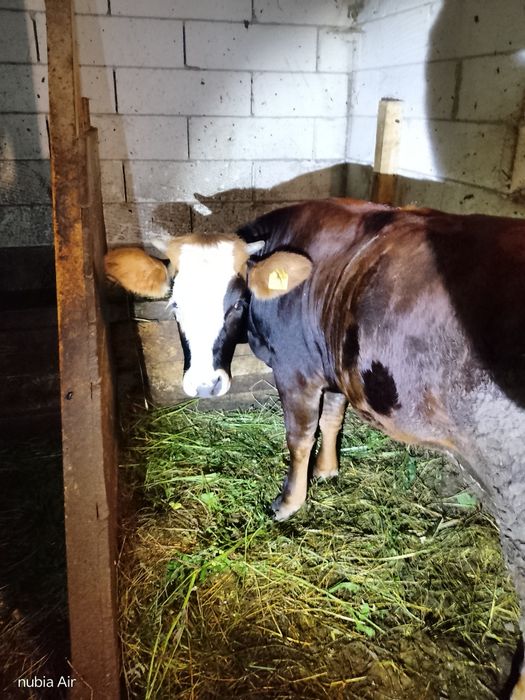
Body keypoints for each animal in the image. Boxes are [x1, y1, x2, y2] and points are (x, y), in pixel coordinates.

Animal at [105, 198, 525, 697]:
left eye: (237, 303)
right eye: (174, 303)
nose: (205, 385)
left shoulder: (297, 372)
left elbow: (301, 434)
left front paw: (290, 502)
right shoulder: (334, 365)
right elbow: (334, 417)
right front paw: (327, 471)